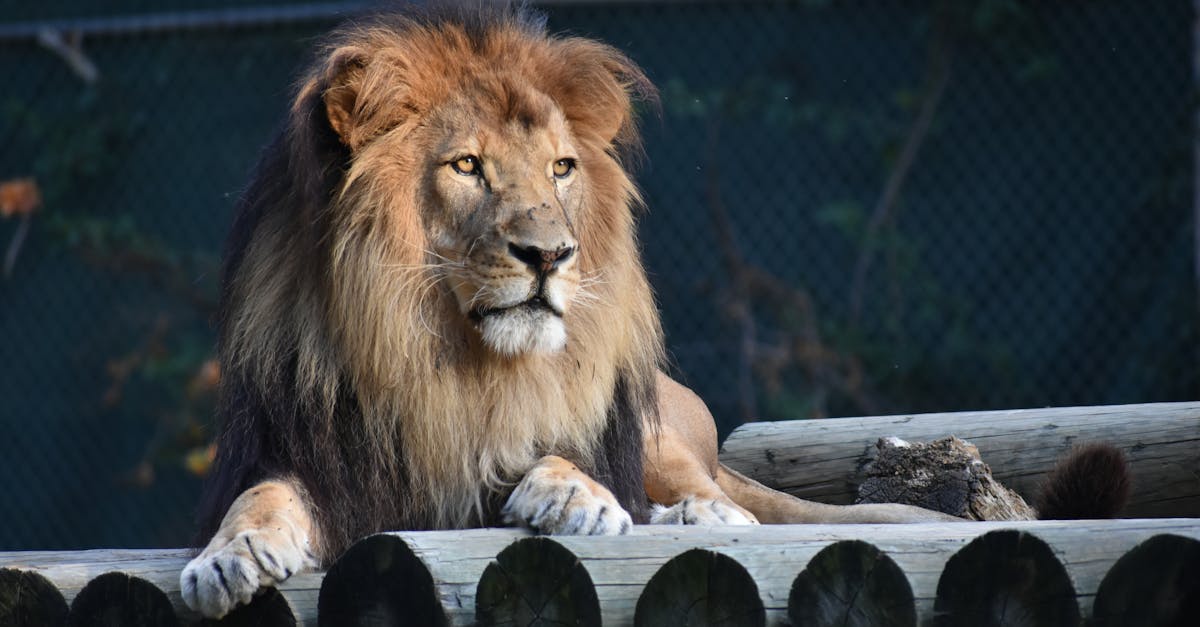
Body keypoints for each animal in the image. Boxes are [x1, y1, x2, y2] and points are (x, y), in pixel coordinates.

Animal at [178, 5, 1027, 618]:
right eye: (466, 165)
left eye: (561, 167)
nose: (551, 254)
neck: (444, 364)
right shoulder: (307, 457)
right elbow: (262, 496)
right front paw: (228, 556)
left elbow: (563, 455)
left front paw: (570, 494)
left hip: (664, 437)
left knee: (725, 504)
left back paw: (697, 518)